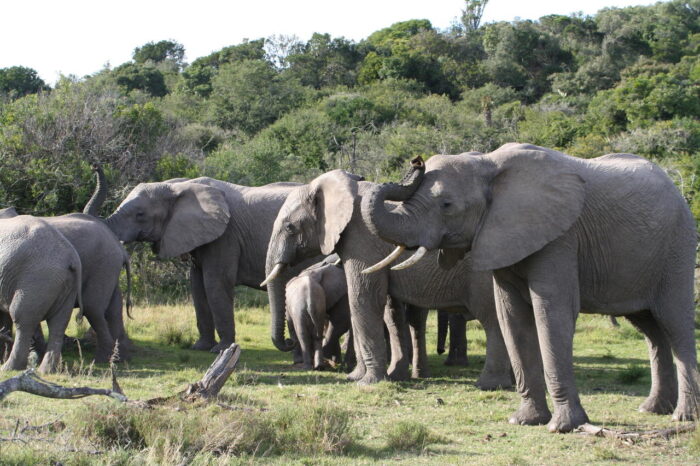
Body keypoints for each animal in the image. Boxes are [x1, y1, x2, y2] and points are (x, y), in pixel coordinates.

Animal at [0, 215, 83, 372]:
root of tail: (71, 258)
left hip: (37, 278)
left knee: (21, 319)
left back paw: (9, 368)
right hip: (66, 285)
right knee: (58, 324)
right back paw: (47, 370)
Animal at [105, 177, 316, 352]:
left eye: (140, 214)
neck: (178, 185)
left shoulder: (225, 236)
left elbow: (215, 283)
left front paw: (221, 350)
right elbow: (197, 287)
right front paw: (200, 347)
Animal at [260, 169, 512, 388]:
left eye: (290, 227)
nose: (288, 342)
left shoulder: (362, 241)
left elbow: (363, 298)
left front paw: (366, 382)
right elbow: (390, 312)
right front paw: (379, 377)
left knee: (492, 317)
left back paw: (492, 384)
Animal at [364, 143, 696, 434]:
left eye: (446, 205)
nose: (416, 161)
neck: (488, 163)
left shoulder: (560, 237)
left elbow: (551, 311)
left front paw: (563, 427)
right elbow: (511, 315)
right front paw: (524, 421)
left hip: (678, 246)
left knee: (675, 323)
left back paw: (683, 417)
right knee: (650, 329)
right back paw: (652, 409)